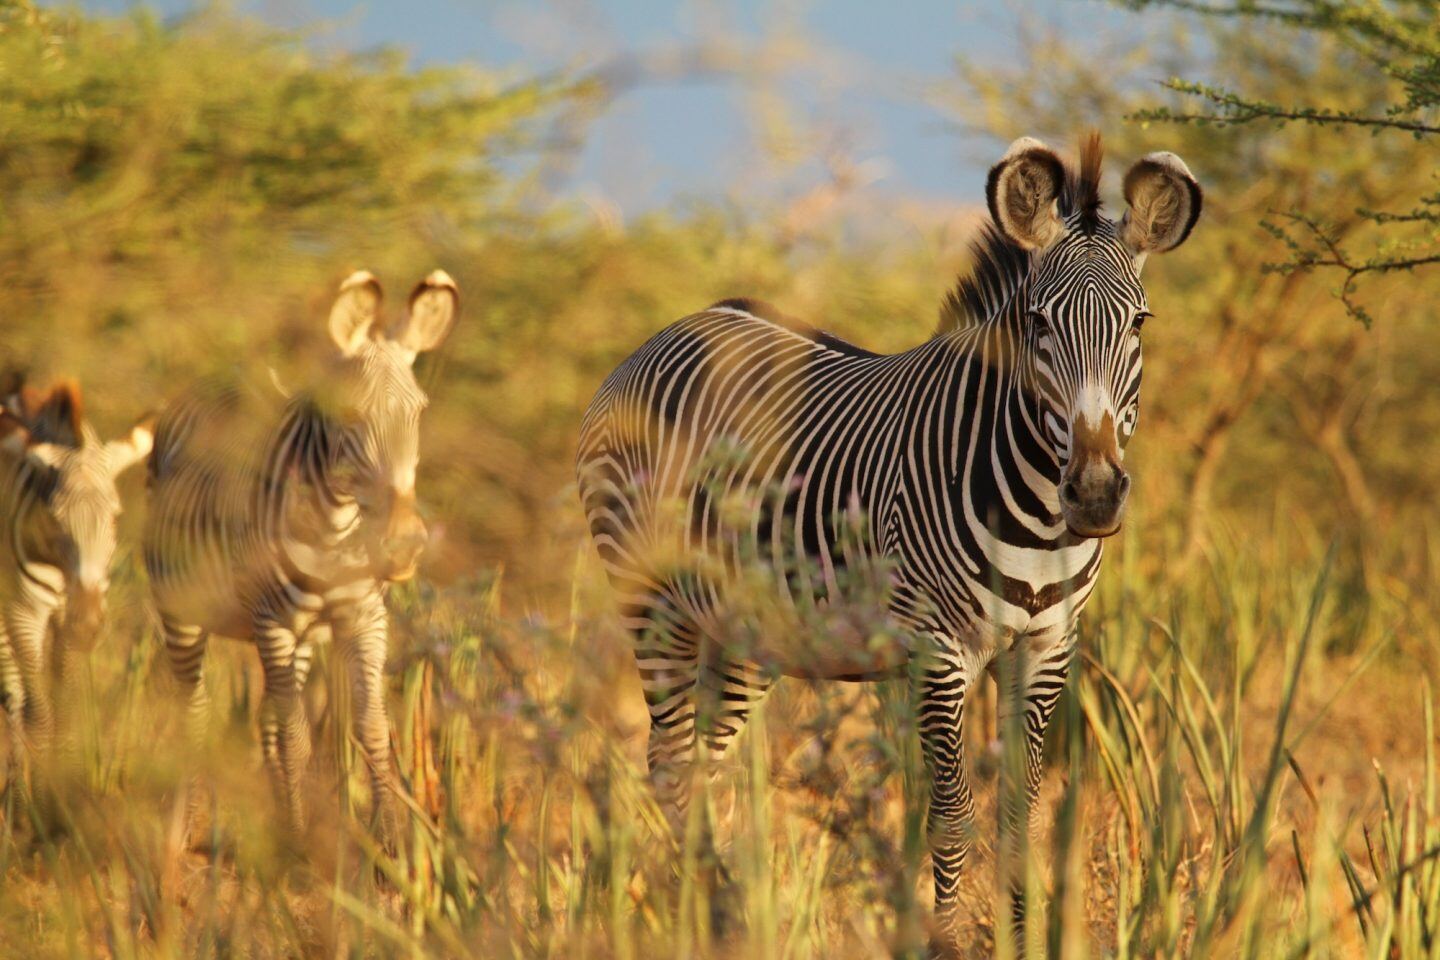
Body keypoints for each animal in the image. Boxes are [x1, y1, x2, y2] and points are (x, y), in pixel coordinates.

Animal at [0, 377, 153, 771]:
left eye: (115, 517)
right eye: (53, 518)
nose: (85, 624)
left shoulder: (67, 626)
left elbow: (64, 718)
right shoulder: (24, 613)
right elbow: (39, 718)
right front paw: (40, 787)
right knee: (14, 696)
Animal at [143, 270, 458, 834]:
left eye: (419, 411)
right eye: (350, 414)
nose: (402, 545)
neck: (335, 533)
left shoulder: (365, 618)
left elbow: (372, 728)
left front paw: (387, 840)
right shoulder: (274, 623)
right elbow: (296, 740)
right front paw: (299, 840)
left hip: (300, 636)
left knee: (266, 718)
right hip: (184, 612)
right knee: (196, 712)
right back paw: (193, 821)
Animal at [575, 134, 1202, 948]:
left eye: (1139, 325)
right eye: (1037, 325)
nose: (1094, 493)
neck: (1036, 514)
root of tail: (673, 329)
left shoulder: (1047, 648)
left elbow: (1020, 816)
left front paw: (1023, 943)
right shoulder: (938, 652)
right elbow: (951, 818)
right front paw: (948, 945)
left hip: (746, 629)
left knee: (701, 766)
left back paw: (722, 918)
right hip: (653, 603)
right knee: (669, 765)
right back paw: (693, 922)